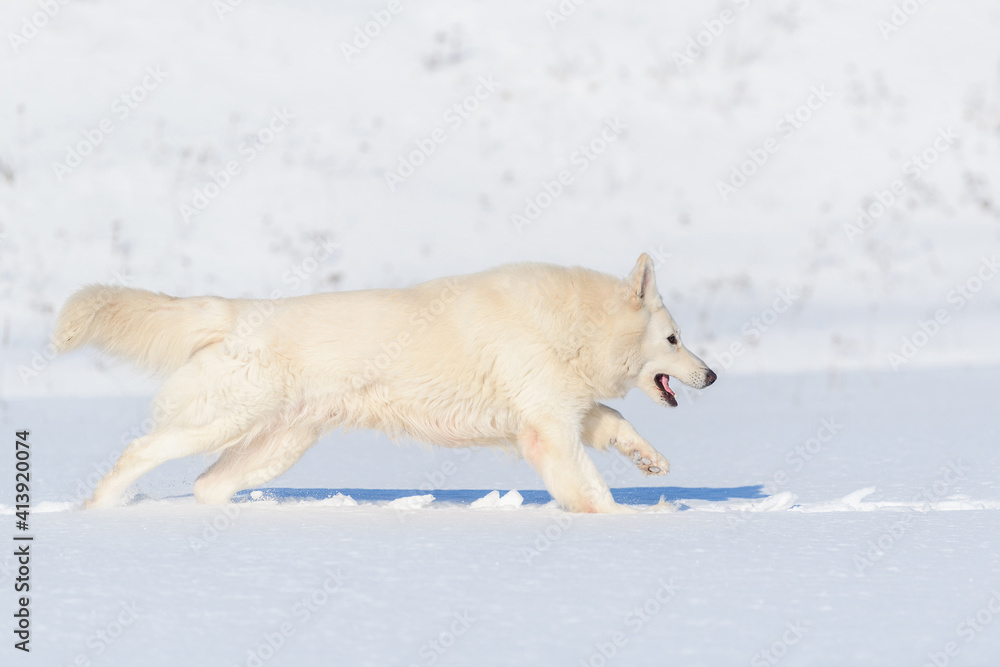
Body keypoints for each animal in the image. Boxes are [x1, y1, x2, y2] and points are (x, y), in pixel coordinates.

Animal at [54, 253, 716, 516]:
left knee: (206, 485)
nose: (711, 375)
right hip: (222, 421)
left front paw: (651, 463)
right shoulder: (547, 431)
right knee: (139, 452)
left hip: (277, 445)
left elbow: (615, 421)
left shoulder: (558, 411)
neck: (572, 326)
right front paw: (629, 522)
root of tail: (236, 311)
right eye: (674, 339)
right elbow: (591, 489)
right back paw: (98, 511)